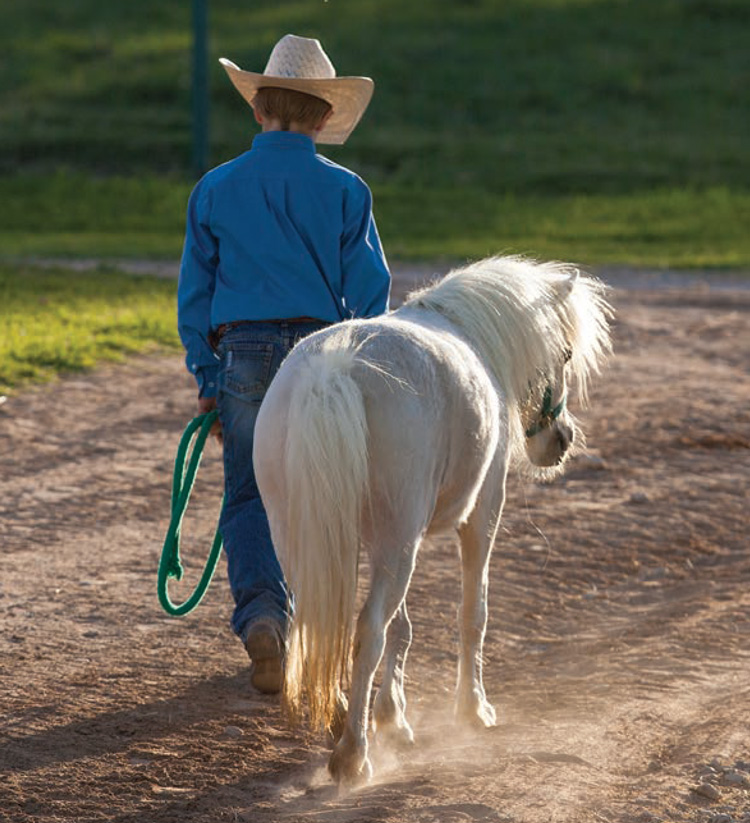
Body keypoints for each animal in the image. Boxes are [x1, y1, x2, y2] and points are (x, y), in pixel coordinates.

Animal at [253, 254, 613, 784]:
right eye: (564, 355)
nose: (561, 440)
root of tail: (332, 372)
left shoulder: (392, 542)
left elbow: (402, 628)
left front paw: (393, 718)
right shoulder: (480, 513)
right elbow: (472, 613)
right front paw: (473, 709)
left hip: (308, 539)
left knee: (321, 626)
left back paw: (342, 717)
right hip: (396, 542)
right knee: (367, 631)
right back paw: (353, 755)